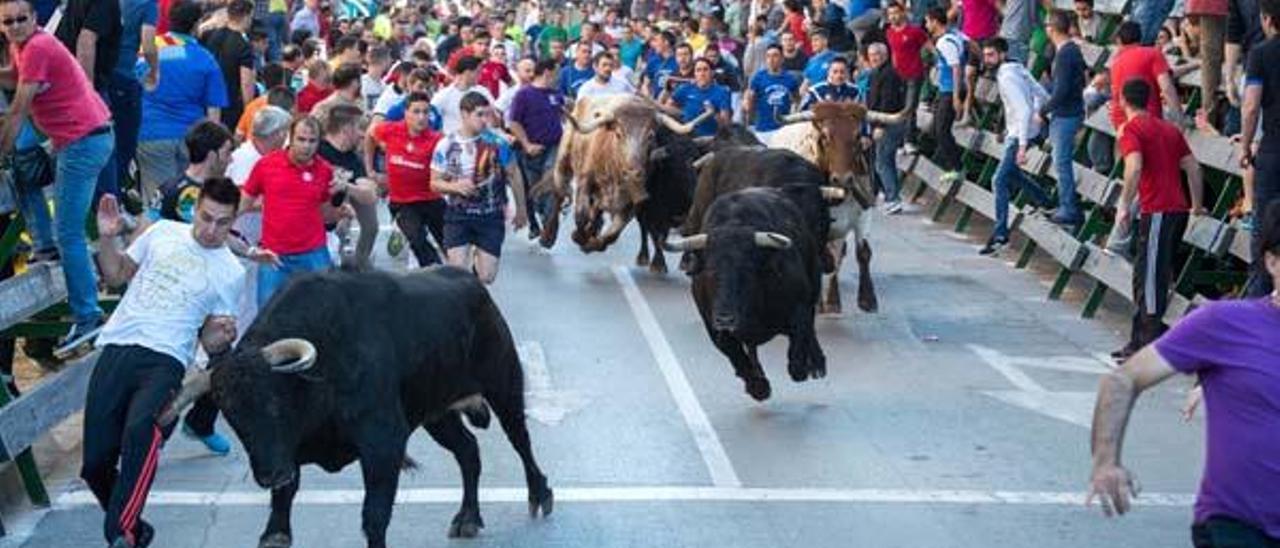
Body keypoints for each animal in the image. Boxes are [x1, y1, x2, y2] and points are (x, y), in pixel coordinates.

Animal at [160, 267, 550, 548]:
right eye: (232, 415)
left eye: (275, 403)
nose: (271, 474)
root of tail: (474, 285)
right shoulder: (290, 454)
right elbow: (284, 502)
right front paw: (275, 529)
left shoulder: (383, 443)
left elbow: (374, 516)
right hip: (437, 414)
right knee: (468, 451)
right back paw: (468, 518)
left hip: (504, 386)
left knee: (520, 440)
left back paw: (540, 495)